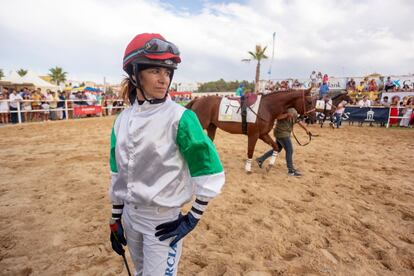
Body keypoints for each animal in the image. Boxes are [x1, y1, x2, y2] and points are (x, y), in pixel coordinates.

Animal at [185, 88, 314, 172]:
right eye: (309, 101)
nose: (312, 117)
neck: (267, 107)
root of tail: (197, 100)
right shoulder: (254, 134)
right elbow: (250, 150)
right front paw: (248, 168)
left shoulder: (263, 134)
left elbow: (276, 147)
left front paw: (269, 165)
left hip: (212, 127)